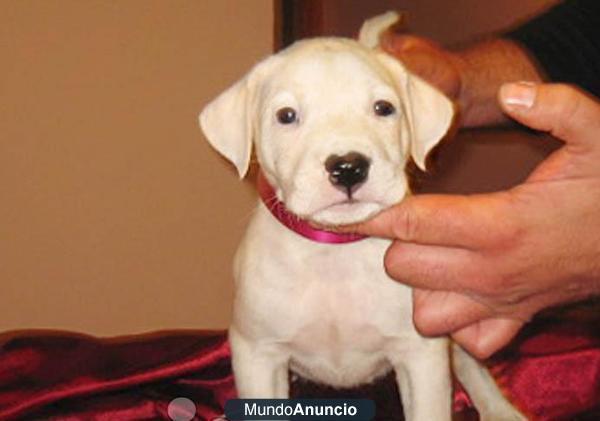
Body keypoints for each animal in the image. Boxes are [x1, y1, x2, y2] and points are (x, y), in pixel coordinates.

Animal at [199, 12, 524, 420]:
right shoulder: (257, 353)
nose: (348, 167)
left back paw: (500, 408)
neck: (335, 249)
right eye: (286, 116)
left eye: (383, 108)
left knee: (470, 365)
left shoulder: (421, 352)